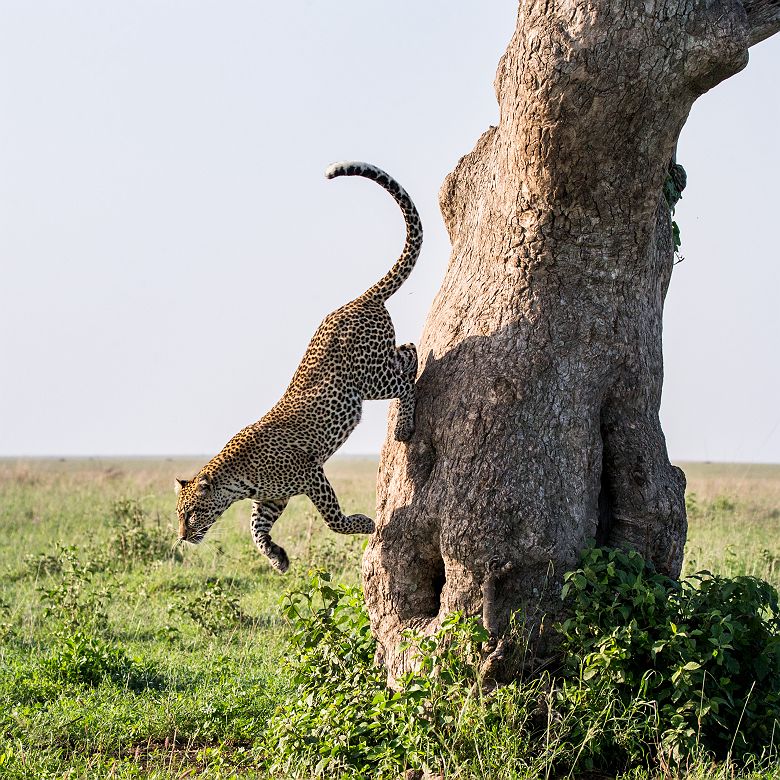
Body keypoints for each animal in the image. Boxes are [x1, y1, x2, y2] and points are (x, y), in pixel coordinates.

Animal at [174, 160, 424, 572]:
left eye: (192, 513)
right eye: (179, 514)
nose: (182, 536)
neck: (236, 481)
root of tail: (358, 299)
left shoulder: (310, 473)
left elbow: (331, 518)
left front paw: (364, 523)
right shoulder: (271, 499)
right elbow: (255, 529)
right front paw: (277, 558)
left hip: (368, 379)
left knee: (408, 370)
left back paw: (404, 423)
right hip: (375, 366)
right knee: (408, 350)